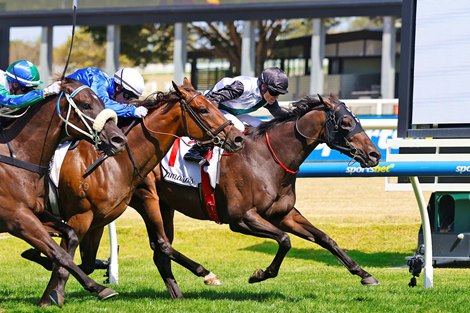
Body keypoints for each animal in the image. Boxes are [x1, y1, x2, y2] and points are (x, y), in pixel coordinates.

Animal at [0, 78, 126, 304]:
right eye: (86, 105)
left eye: (102, 102)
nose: (118, 139)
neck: (19, 156)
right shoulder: (17, 218)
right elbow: (59, 252)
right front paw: (98, 287)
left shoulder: (37, 211)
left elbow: (71, 236)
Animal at [24, 78, 246, 304]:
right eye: (203, 109)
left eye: (214, 105)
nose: (237, 138)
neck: (114, 163)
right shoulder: (80, 217)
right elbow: (65, 256)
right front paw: (51, 295)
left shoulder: (103, 218)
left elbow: (86, 262)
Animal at [125, 94, 382, 298]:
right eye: (346, 122)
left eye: (357, 120)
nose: (375, 154)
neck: (267, 159)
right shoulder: (241, 219)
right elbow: (284, 240)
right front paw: (260, 274)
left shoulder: (284, 214)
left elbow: (325, 238)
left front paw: (364, 274)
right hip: (147, 198)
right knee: (162, 245)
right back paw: (206, 275)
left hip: (165, 205)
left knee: (160, 251)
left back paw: (178, 294)